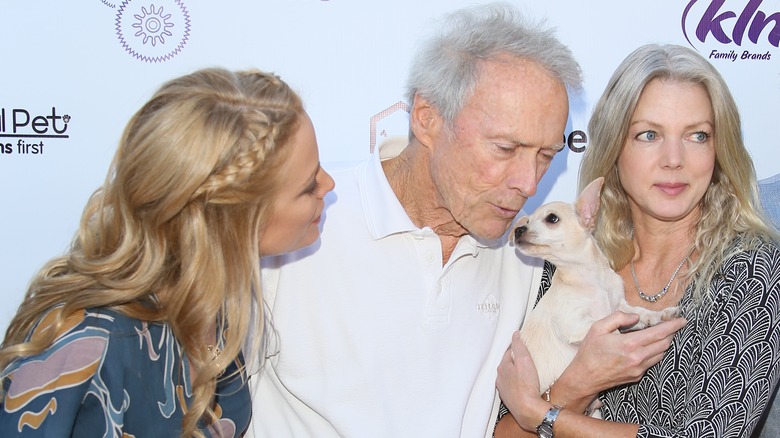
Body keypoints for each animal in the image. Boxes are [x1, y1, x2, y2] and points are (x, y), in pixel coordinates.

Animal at [512, 176, 676, 408]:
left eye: (551, 219)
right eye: (525, 222)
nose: (518, 230)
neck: (590, 278)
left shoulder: (621, 308)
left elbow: (638, 313)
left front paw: (658, 315)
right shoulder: (574, 324)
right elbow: (607, 327)